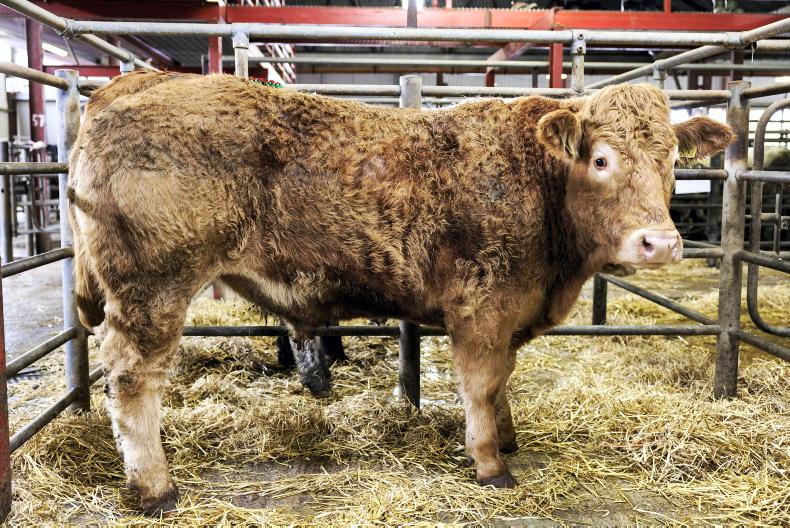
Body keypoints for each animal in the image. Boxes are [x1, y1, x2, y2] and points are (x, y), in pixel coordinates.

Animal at [68, 72, 734, 513]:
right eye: (600, 160)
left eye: (673, 160)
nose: (660, 243)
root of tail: (132, 82)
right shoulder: (482, 309)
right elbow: (482, 384)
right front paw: (490, 462)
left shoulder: (510, 314)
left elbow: (504, 381)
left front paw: (507, 436)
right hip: (152, 290)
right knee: (133, 381)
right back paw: (155, 487)